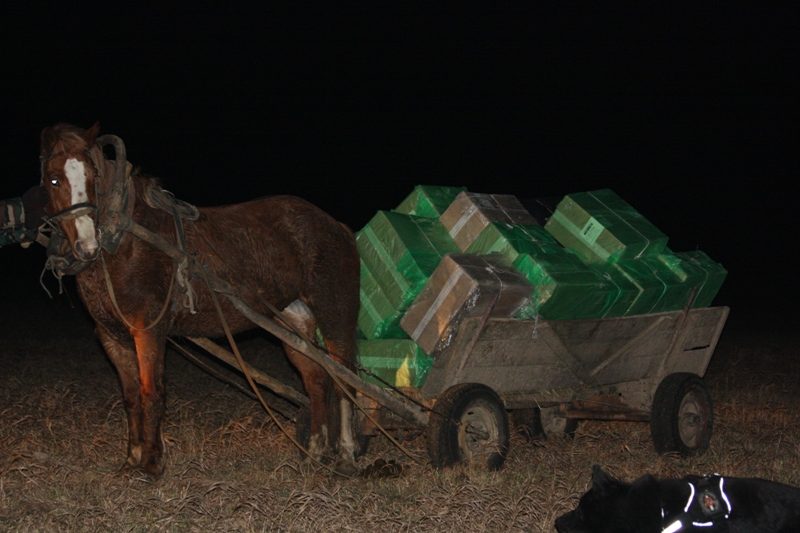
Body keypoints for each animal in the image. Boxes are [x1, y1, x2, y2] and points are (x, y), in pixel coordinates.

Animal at [37, 122, 360, 476]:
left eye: (93, 175)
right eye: (53, 179)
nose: (87, 246)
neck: (123, 238)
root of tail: (336, 225)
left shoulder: (149, 329)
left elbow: (152, 392)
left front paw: (151, 463)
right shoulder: (111, 335)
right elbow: (131, 396)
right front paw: (131, 458)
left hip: (335, 315)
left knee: (345, 380)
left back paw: (346, 452)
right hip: (292, 323)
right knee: (317, 380)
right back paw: (315, 453)